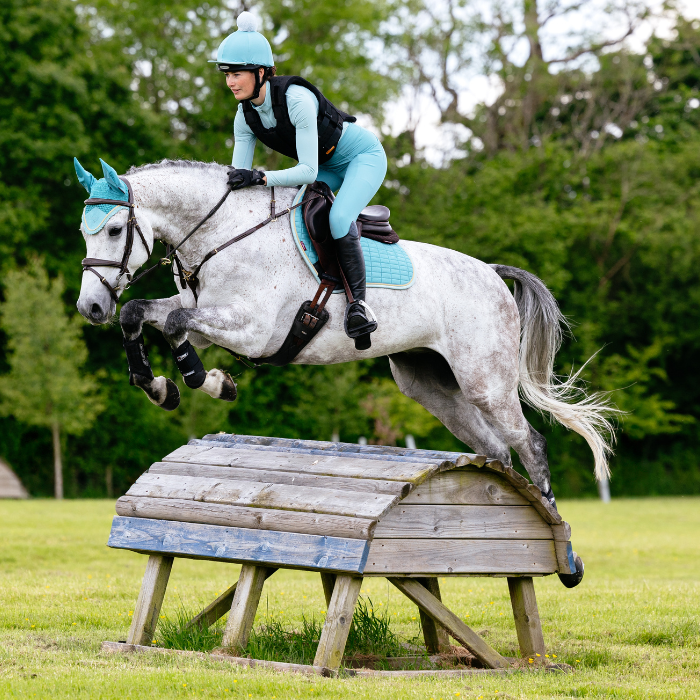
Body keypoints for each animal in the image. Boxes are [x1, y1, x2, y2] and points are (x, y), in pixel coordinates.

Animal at [74, 159, 616, 508]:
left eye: (115, 230)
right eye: (84, 231)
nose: (91, 307)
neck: (223, 234)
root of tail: (491, 272)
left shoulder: (251, 330)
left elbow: (173, 326)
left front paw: (207, 382)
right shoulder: (206, 318)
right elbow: (143, 314)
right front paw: (159, 386)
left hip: (486, 381)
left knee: (530, 444)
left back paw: (563, 550)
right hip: (429, 384)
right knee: (497, 450)